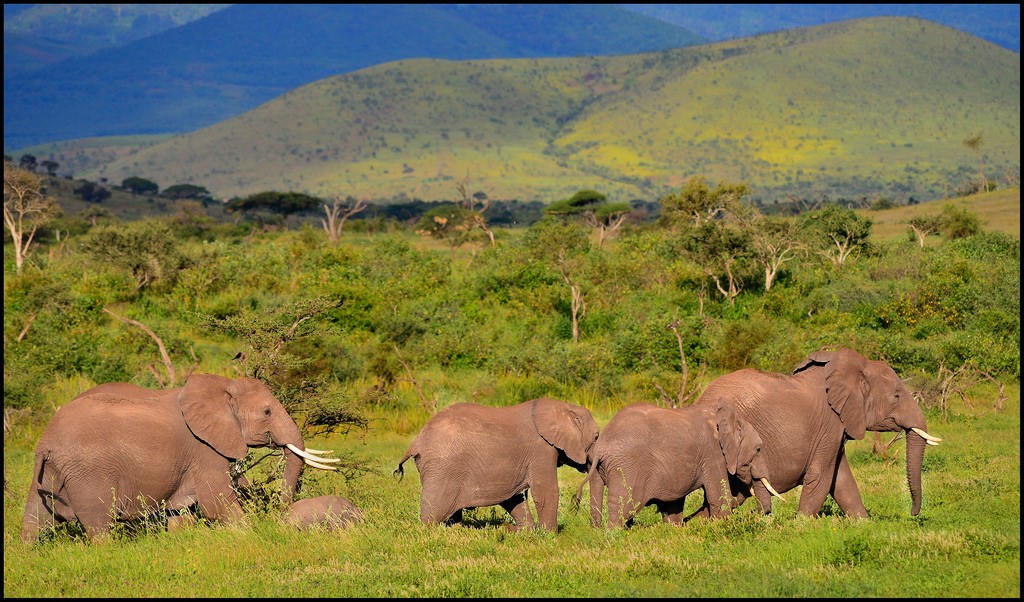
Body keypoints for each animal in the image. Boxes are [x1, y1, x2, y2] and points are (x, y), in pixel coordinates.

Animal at [21, 374, 340, 543]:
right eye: (267, 412)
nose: (282, 514)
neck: (223, 385)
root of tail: (46, 443)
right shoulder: (206, 449)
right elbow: (218, 504)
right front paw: (250, 536)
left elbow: (182, 514)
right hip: (89, 474)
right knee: (99, 526)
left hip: (49, 472)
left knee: (36, 519)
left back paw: (28, 552)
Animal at [394, 397, 600, 531]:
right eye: (596, 437)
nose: (575, 504)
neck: (563, 406)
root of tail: (417, 441)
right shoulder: (542, 449)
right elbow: (545, 491)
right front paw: (549, 536)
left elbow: (514, 497)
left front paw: (525, 532)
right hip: (442, 468)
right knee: (434, 512)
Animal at [575, 398, 784, 528]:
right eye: (759, 449)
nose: (758, 516)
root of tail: (603, 446)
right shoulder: (713, 453)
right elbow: (719, 497)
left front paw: (674, 529)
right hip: (627, 468)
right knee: (624, 506)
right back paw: (614, 535)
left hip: (599, 467)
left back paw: (597, 529)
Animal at [690, 347, 942, 519]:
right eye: (897, 396)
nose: (912, 514)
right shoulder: (829, 424)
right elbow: (821, 476)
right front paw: (800, 525)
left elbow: (841, 479)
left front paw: (864, 523)